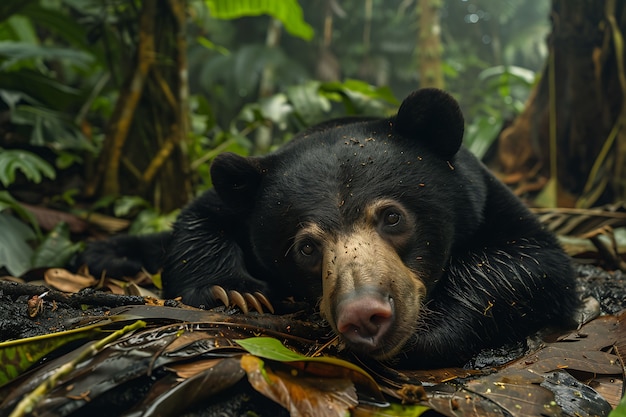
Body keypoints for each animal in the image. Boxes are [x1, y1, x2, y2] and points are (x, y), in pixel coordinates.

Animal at [83, 88, 576, 368]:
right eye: (305, 247)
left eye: (392, 217)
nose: (363, 314)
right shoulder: (233, 203)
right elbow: (198, 220)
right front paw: (236, 293)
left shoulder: (486, 198)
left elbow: (533, 261)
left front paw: (432, 331)